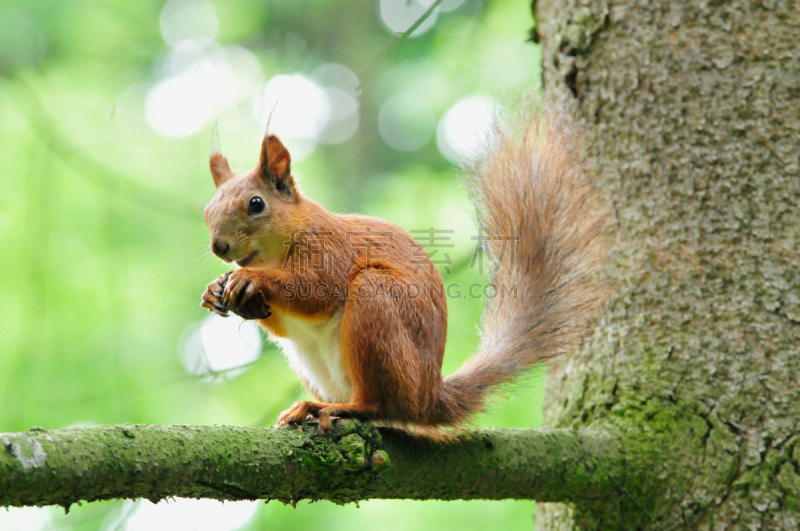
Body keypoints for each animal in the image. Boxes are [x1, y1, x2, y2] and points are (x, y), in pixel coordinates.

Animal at [200, 112, 608, 432]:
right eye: (207, 210)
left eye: (256, 204)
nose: (219, 247)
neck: (275, 255)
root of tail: (428, 397)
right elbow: (285, 323)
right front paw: (217, 292)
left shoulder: (328, 248)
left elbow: (317, 292)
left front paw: (251, 282)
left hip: (377, 305)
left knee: (377, 405)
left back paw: (336, 408)